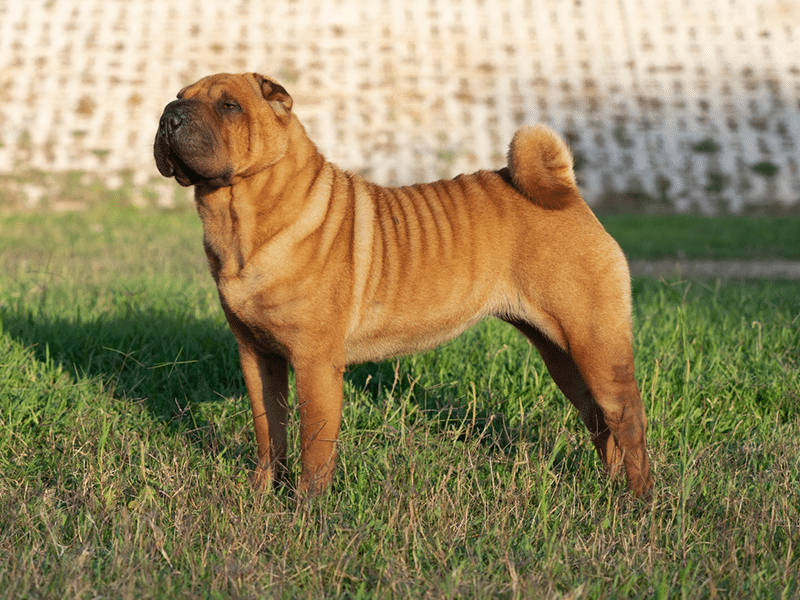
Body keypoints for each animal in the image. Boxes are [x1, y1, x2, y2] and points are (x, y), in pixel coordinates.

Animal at [153, 72, 652, 500]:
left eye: (229, 105)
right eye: (179, 94)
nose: (169, 115)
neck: (238, 217)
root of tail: (568, 190)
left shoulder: (315, 363)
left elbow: (314, 444)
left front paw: (305, 508)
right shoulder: (257, 356)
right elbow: (269, 432)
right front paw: (260, 495)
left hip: (593, 340)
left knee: (627, 417)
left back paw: (638, 500)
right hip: (561, 353)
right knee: (599, 418)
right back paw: (610, 489)